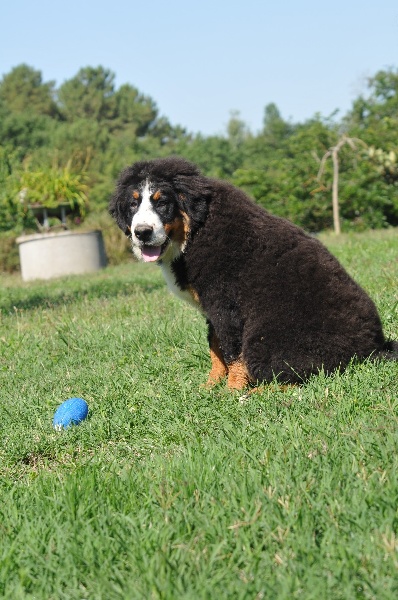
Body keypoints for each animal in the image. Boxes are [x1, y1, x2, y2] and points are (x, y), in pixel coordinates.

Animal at [109, 156, 398, 390]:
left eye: (163, 203)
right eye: (133, 205)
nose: (142, 232)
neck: (195, 232)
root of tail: (374, 347)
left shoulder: (226, 306)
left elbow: (232, 353)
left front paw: (231, 390)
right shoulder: (213, 309)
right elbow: (215, 348)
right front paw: (210, 386)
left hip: (266, 342)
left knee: (297, 378)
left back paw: (253, 394)